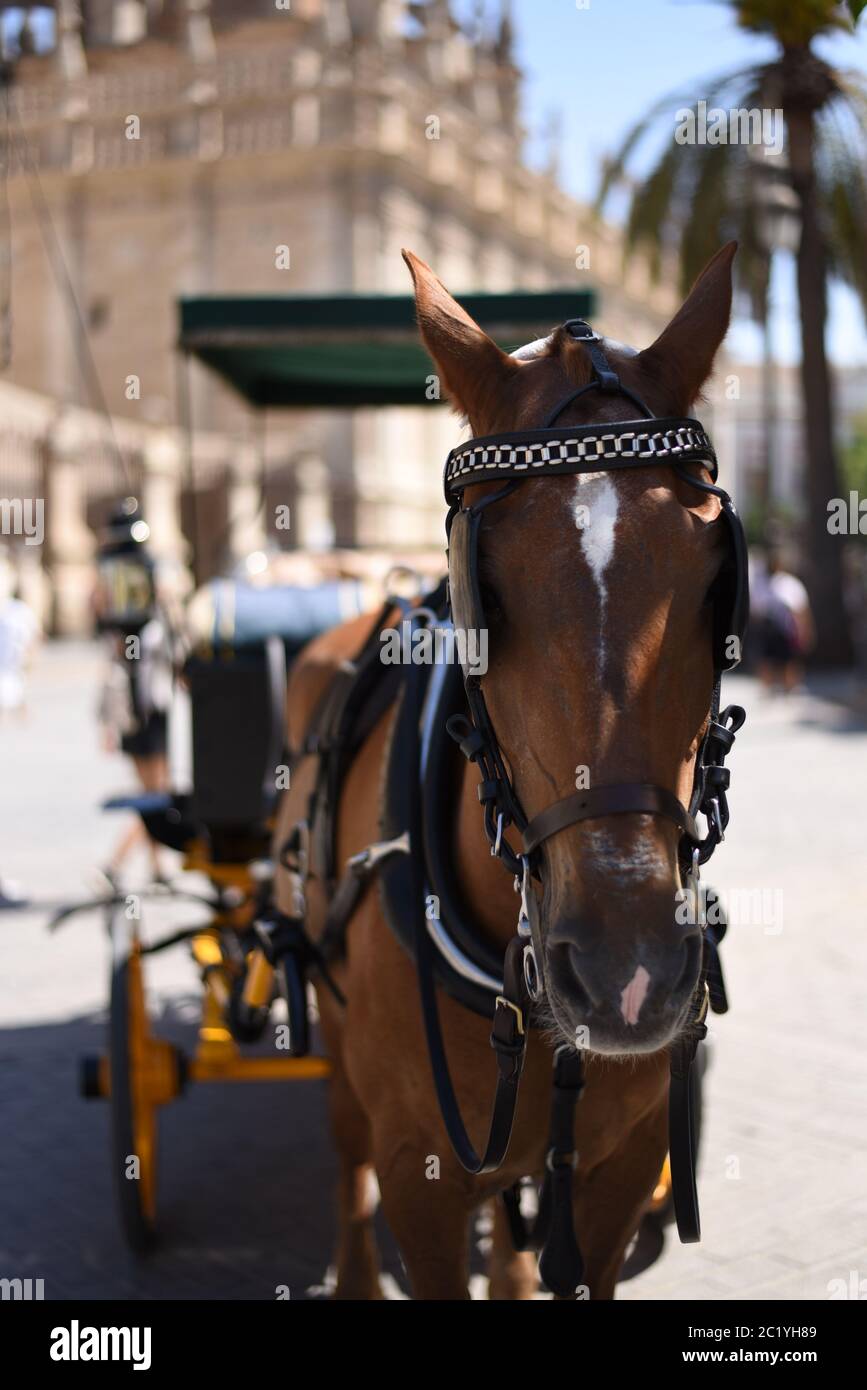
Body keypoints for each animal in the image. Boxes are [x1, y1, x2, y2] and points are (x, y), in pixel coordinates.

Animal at [275, 241, 739, 1299]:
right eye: (481, 586)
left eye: (713, 578)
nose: (625, 973)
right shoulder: (420, 1174)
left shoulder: (618, 1173)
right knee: (342, 1153)